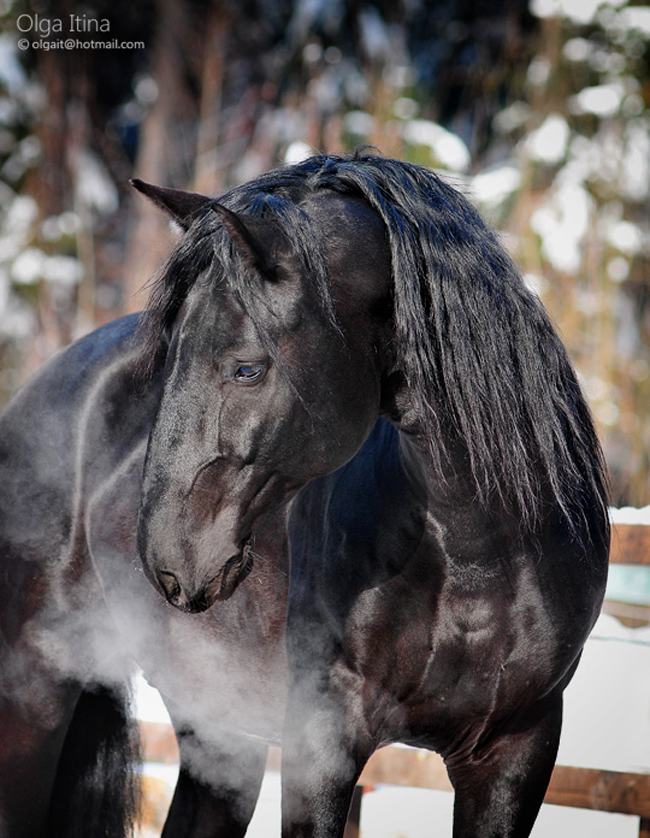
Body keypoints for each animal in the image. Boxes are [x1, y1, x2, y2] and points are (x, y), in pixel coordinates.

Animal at [1, 153, 608, 838]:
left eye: (246, 368)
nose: (167, 560)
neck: (480, 552)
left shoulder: (517, 750)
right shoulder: (322, 741)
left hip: (218, 730)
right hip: (32, 703)